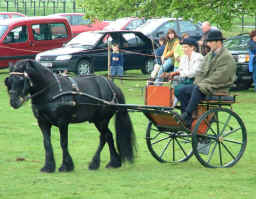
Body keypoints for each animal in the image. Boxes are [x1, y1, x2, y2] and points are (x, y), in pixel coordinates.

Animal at [4, 59, 136, 173]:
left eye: (21, 79)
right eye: (9, 80)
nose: (13, 101)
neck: (51, 91)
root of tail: (112, 86)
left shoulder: (62, 122)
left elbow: (63, 143)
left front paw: (66, 166)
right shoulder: (42, 122)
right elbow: (46, 143)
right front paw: (48, 166)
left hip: (101, 120)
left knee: (104, 137)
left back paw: (96, 163)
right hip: (98, 120)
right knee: (108, 136)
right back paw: (113, 162)